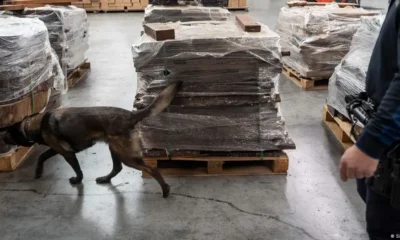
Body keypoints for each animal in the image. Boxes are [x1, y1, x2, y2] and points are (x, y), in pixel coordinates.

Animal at [2, 81, 181, 198]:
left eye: (9, 133)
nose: (2, 137)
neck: (37, 124)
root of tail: (131, 115)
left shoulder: (67, 153)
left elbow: (77, 169)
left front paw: (77, 180)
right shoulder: (56, 149)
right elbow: (41, 156)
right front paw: (38, 171)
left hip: (127, 155)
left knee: (152, 169)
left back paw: (165, 190)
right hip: (114, 148)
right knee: (117, 168)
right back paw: (105, 178)